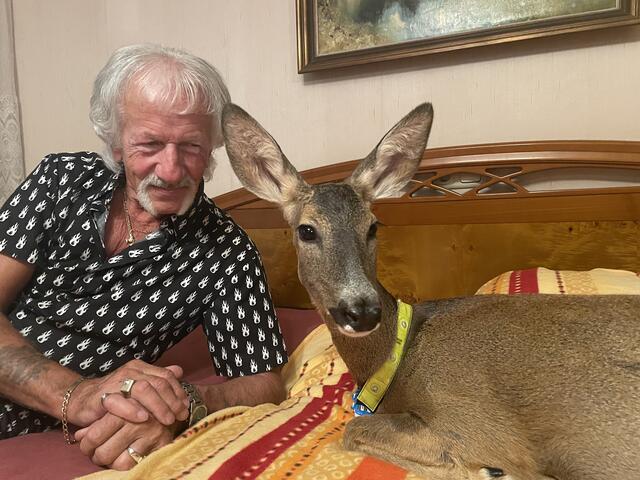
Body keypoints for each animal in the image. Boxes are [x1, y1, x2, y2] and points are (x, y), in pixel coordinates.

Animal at [221, 102, 640, 480]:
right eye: (306, 230)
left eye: (373, 226)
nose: (361, 310)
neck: (397, 364)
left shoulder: (477, 424)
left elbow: (353, 431)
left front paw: (488, 470)